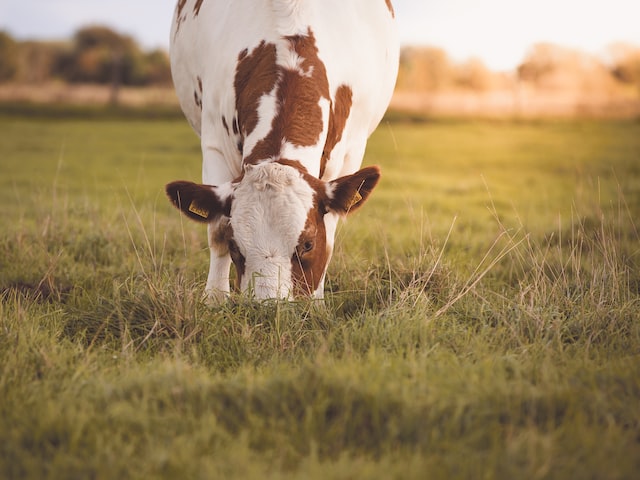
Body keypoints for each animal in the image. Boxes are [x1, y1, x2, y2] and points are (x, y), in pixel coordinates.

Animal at [165, 0, 398, 300]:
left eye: (308, 244)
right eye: (235, 245)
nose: (269, 305)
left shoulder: (350, 153)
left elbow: (330, 233)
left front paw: (316, 301)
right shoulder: (214, 142)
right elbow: (216, 229)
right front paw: (215, 299)